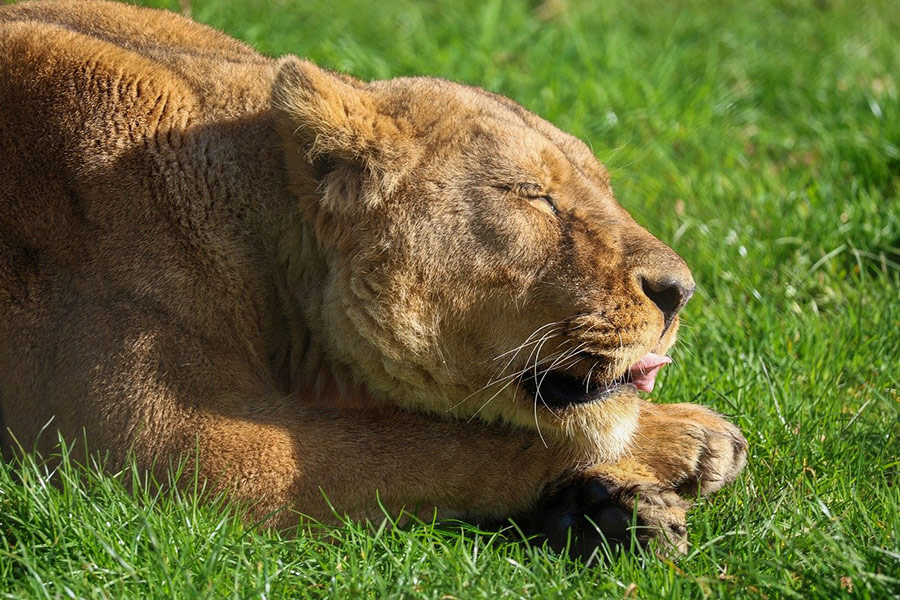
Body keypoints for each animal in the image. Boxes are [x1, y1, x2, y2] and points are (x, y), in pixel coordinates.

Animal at [0, 0, 746, 556]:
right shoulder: (170, 446)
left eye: (605, 189)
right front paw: (678, 443)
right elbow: (429, 441)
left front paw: (629, 493)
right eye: (534, 196)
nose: (680, 291)